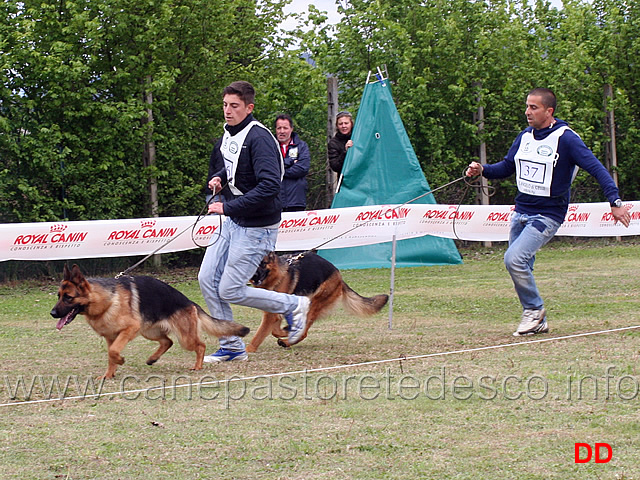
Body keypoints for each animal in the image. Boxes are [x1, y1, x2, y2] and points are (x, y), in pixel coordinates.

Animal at [51, 264, 250, 376]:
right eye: (59, 296)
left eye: (68, 298)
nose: (52, 313)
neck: (105, 300)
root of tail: (189, 301)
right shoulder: (110, 337)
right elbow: (110, 355)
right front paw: (108, 375)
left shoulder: (129, 330)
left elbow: (114, 352)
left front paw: (120, 361)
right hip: (149, 332)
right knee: (167, 342)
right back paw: (153, 359)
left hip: (183, 337)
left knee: (199, 345)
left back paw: (197, 366)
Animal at [249, 253, 390, 350]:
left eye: (262, 263)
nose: (254, 276)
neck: (277, 276)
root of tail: (339, 275)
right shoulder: (273, 312)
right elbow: (274, 330)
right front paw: (286, 330)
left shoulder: (271, 315)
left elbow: (259, 335)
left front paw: (249, 350)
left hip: (314, 304)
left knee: (304, 331)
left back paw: (288, 340)